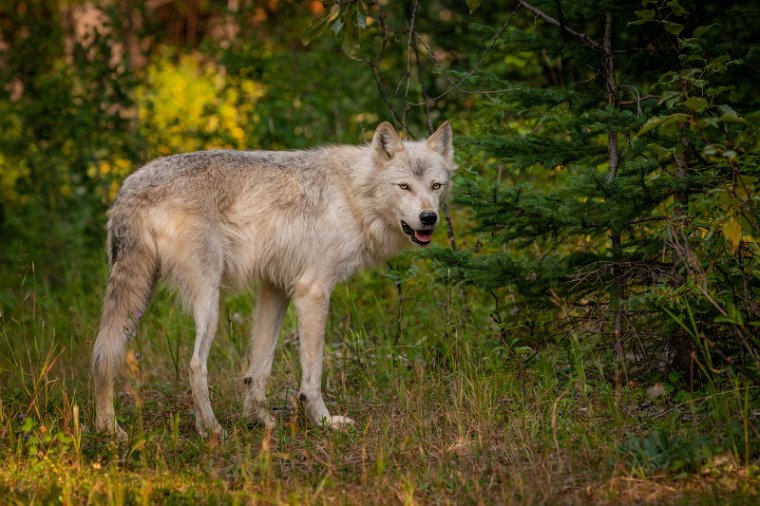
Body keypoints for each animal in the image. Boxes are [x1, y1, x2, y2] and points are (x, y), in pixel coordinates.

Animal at [92, 121, 454, 438]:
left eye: (436, 186)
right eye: (404, 186)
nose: (429, 218)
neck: (353, 196)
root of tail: (130, 186)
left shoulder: (275, 287)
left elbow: (258, 368)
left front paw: (260, 421)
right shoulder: (313, 291)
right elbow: (312, 373)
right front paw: (323, 421)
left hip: (135, 300)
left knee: (102, 354)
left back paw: (109, 429)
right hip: (208, 301)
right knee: (195, 365)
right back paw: (213, 430)